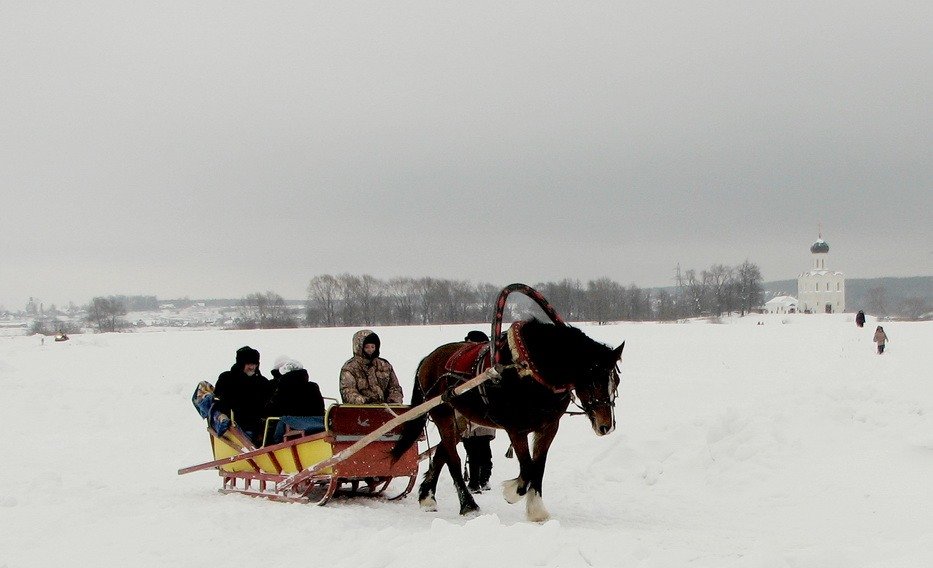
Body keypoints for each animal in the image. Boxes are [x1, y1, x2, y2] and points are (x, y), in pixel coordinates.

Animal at [390, 318, 624, 520]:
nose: (606, 426)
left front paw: (536, 510)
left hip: (462, 419)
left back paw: (427, 497)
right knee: (453, 460)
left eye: (616, 380)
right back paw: (468, 505)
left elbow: (538, 467)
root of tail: (428, 359)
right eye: (593, 379)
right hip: (443, 414)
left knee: (442, 452)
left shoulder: (549, 427)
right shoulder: (516, 429)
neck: (531, 369)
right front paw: (512, 492)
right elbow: (528, 468)